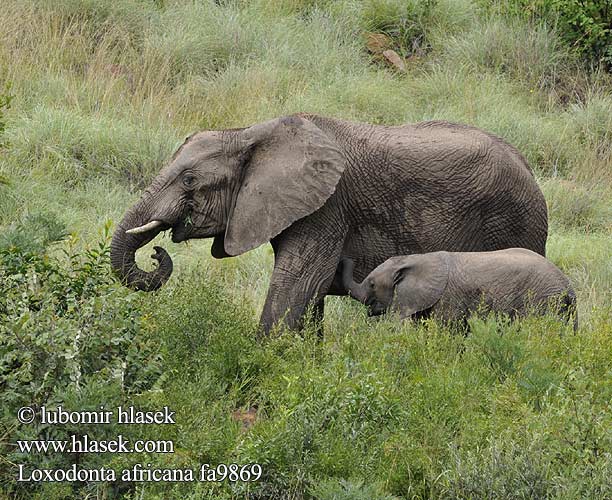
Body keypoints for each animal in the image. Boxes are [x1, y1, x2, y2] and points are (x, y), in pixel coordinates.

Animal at [111, 113, 548, 332]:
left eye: (189, 180)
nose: (156, 252)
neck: (250, 134)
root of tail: (529, 168)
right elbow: (310, 294)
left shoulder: (328, 208)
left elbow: (299, 283)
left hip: (515, 221)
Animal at [342, 249, 576, 328]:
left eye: (372, 284)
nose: (346, 259)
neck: (414, 258)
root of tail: (569, 288)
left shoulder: (448, 298)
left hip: (542, 300)